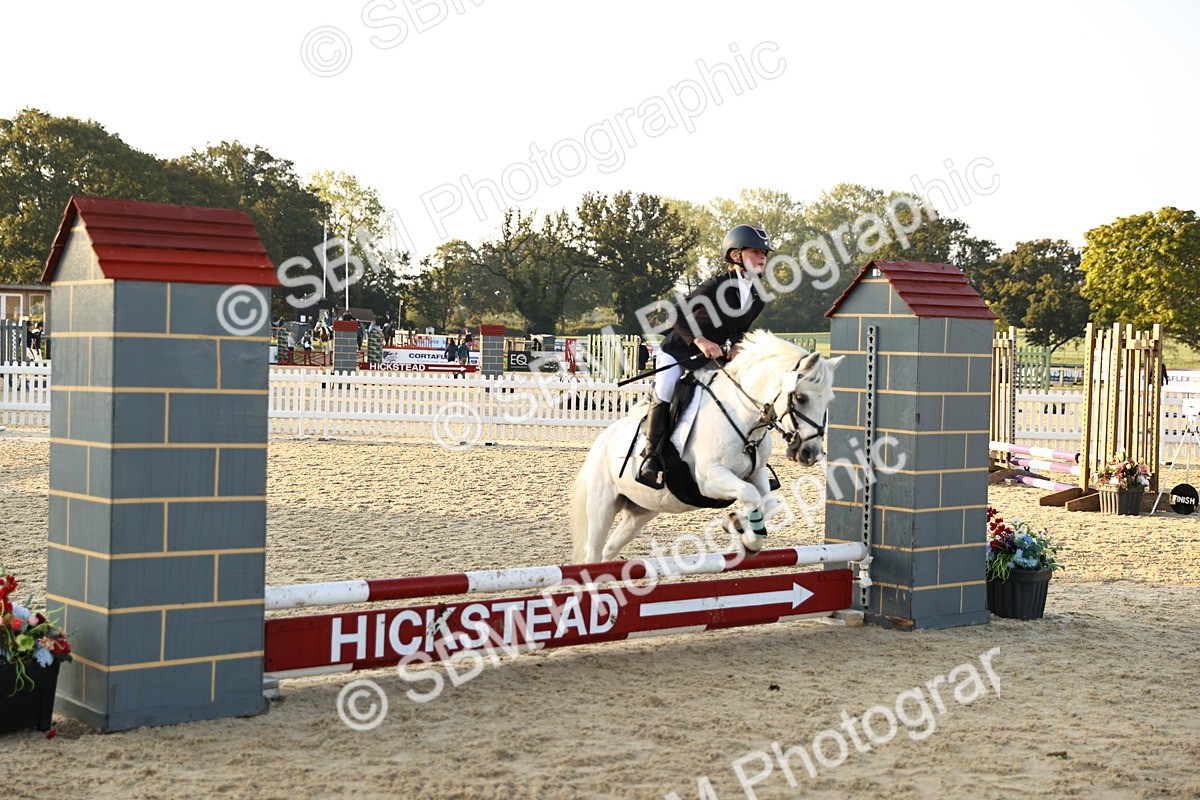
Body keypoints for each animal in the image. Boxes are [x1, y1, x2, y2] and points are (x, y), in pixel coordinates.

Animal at [569, 330, 843, 564]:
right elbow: (750, 495)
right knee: (593, 552)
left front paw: (739, 525)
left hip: (641, 511)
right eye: (801, 398)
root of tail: (602, 440)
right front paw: (746, 537)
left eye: (830, 401)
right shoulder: (709, 480)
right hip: (603, 507)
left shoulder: (756, 474)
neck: (743, 417)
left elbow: (768, 503)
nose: (810, 453)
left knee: (609, 549)